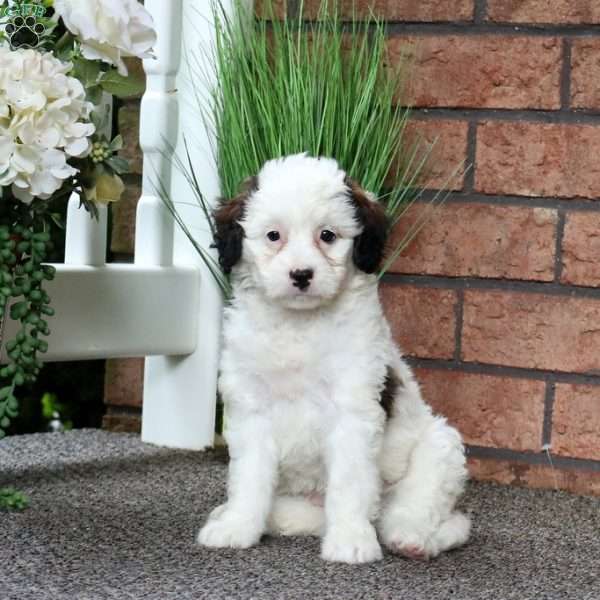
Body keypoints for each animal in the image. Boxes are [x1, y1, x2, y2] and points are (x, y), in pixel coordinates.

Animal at [199, 154, 472, 564]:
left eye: (327, 235)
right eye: (273, 236)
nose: (301, 275)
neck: (299, 326)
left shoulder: (353, 411)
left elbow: (349, 483)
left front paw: (350, 541)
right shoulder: (251, 410)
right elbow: (248, 479)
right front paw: (237, 527)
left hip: (439, 448)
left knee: (430, 513)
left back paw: (410, 538)